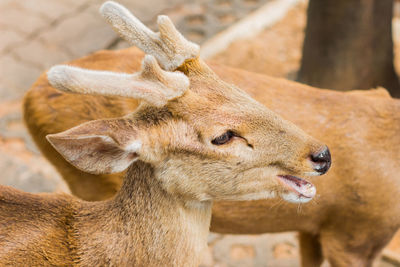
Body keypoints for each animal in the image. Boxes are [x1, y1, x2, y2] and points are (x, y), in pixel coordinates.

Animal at [22, 0, 400, 267]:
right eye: (222, 136)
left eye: (240, 90)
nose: (322, 154)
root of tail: (28, 98)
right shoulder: (354, 234)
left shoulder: (314, 228)